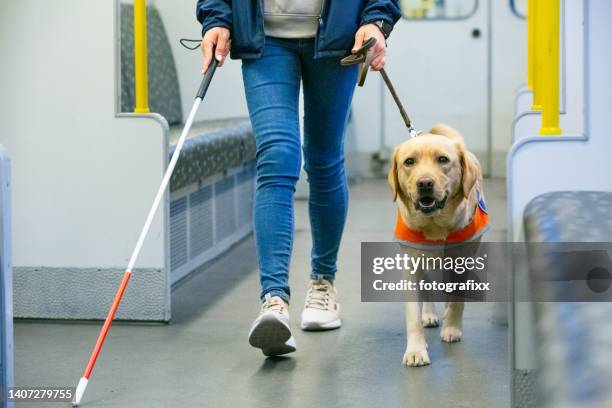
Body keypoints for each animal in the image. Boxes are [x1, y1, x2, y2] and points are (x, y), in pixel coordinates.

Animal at [390, 124, 490, 366]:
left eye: (443, 159)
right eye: (409, 162)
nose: (424, 183)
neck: (435, 225)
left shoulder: (462, 261)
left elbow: (456, 300)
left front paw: (452, 329)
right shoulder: (411, 266)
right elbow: (412, 315)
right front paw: (416, 350)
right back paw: (429, 314)